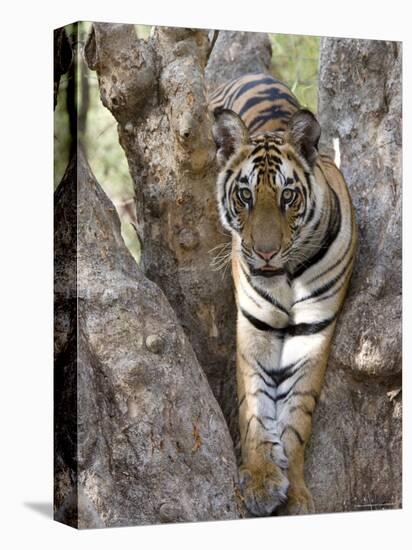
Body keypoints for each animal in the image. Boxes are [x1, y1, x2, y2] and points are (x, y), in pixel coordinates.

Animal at [209, 73, 358, 516]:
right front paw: (260, 477)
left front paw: (294, 493)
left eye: (288, 196)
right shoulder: (254, 325)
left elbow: (296, 413)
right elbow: (255, 403)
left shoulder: (313, 329)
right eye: (245, 195)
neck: (287, 276)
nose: (265, 252)